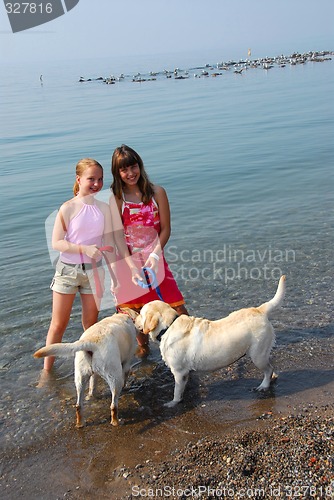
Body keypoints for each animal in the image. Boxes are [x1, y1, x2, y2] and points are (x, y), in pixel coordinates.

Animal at [134, 276, 286, 408]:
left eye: (140, 314)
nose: (134, 320)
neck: (168, 326)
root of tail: (259, 310)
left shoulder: (178, 372)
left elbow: (176, 391)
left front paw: (173, 403)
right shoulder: (184, 373)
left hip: (257, 354)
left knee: (268, 369)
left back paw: (264, 386)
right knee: (270, 368)